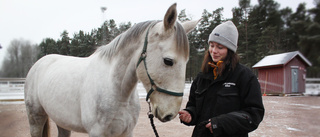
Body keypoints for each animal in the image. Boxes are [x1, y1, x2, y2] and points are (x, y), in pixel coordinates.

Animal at [25, 3, 199, 137]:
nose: (170, 114)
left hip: (62, 122)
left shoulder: (126, 132)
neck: (117, 90)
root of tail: (39, 63)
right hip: (35, 119)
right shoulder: (97, 133)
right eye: (168, 61)